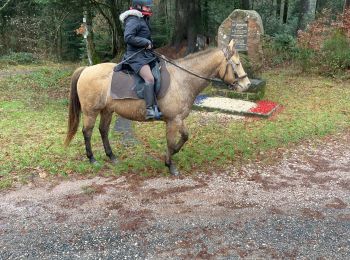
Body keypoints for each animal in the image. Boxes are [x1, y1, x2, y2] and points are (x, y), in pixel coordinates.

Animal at [65, 39, 252, 176]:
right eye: (236, 64)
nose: (247, 85)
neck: (183, 79)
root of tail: (87, 69)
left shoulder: (178, 118)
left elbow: (184, 137)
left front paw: (172, 154)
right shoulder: (173, 120)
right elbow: (170, 141)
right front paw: (170, 165)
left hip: (107, 110)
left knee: (103, 130)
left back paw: (112, 157)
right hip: (91, 111)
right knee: (87, 132)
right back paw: (92, 159)